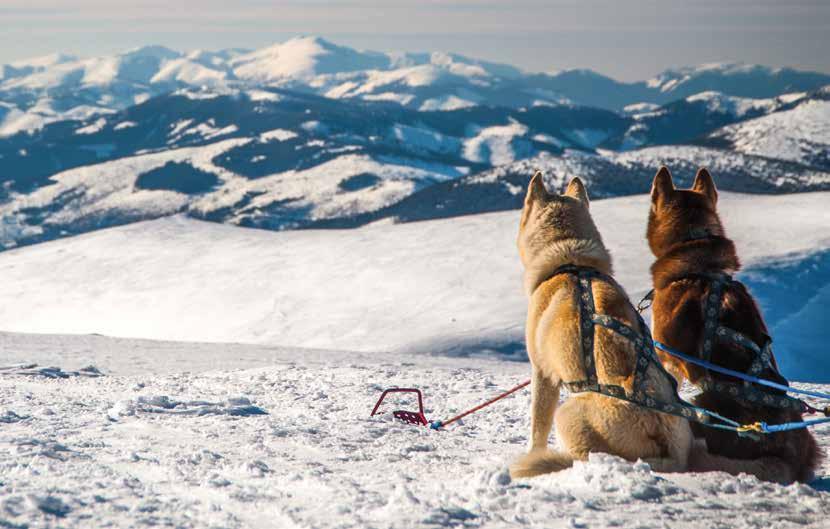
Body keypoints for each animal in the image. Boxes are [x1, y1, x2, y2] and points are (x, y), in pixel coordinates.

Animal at [512, 171, 696, 476]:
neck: (571, 260)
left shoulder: (543, 373)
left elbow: (537, 428)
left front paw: (532, 452)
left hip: (567, 413)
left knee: (584, 455)